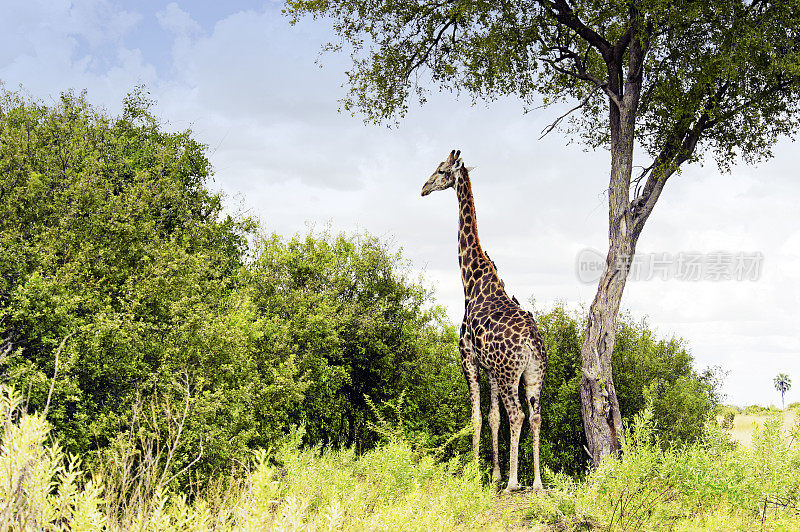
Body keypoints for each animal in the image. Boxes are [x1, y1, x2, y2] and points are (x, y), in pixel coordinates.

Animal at [422, 149, 548, 490]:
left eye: (441, 171)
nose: (423, 188)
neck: (471, 281)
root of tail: (531, 342)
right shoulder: (489, 367)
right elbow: (493, 417)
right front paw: (493, 474)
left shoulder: (468, 357)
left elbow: (477, 416)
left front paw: (476, 473)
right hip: (534, 374)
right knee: (535, 416)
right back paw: (536, 483)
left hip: (510, 374)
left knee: (517, 414)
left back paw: (515, 482)